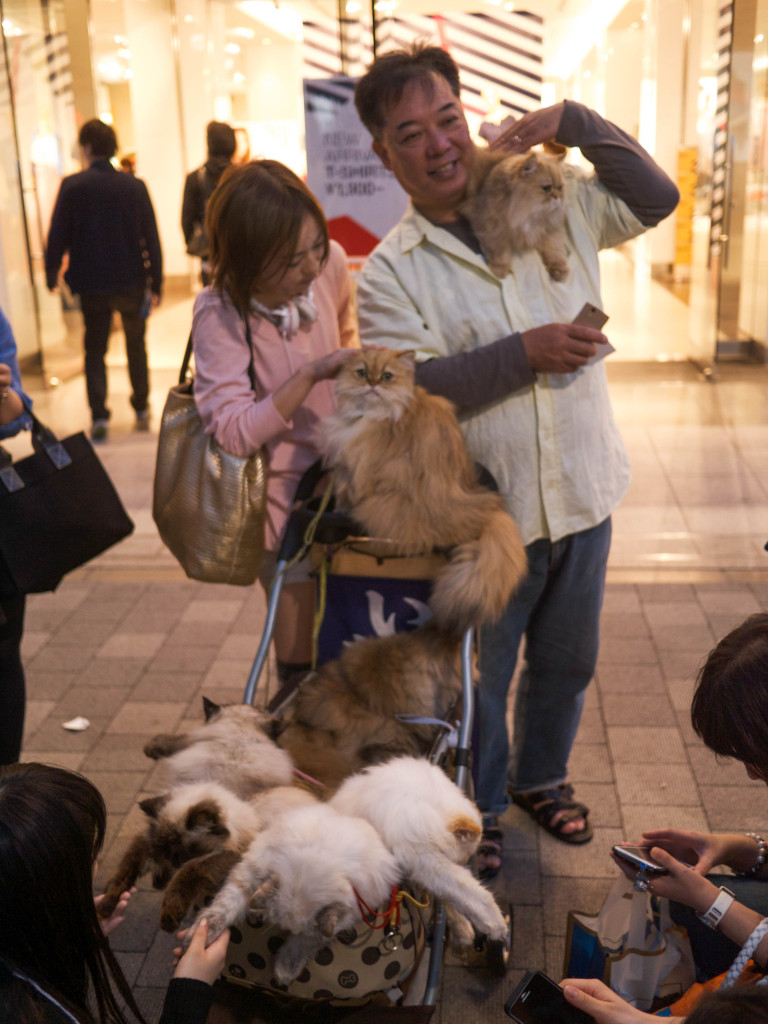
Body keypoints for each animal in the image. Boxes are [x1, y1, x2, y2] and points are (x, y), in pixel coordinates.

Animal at [319, 352, 528, 634]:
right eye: (362, 373)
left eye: (387, 376)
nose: (373, 384)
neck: (372, 413)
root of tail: (484, 510)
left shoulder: (359, 466)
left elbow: (348, 494)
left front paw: (341, 509)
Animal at [329, 757, 505, 937]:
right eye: (466, 855)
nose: (464, 862)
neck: (433, 808)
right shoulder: (423, 859)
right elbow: (470, 890)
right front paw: (496, 925)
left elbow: (452, 898)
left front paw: (465, 930)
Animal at [456, 144, 573, 280]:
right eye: (546, 188)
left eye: (560, 188)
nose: (557, 197)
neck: (528, 215)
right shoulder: (492, 229)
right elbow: (499, 252)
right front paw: (499, 270)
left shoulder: (550, 230)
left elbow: (555, 251)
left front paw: (560, 270)